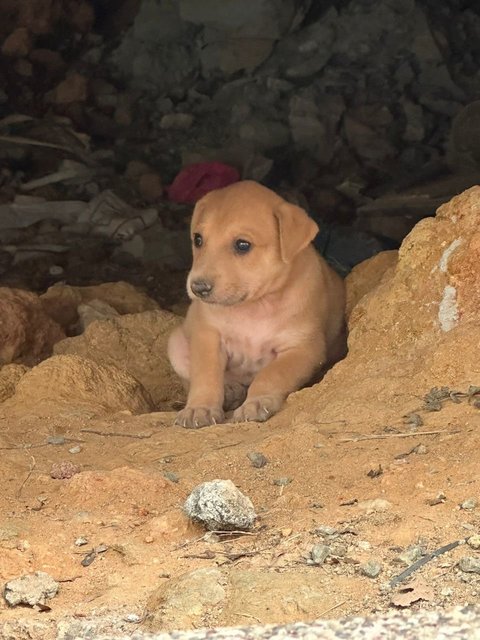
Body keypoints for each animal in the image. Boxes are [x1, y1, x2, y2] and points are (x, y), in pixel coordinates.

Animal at [168, 181, 344, 430]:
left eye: (243, 245)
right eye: (198, 239)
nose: (198, 287)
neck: (255, 307)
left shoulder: (302, 348)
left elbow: (272, 374)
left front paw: (257, 402)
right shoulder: (207, 336)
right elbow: (205, 375)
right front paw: (199, 408)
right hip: (175, 342)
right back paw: (230, 390)